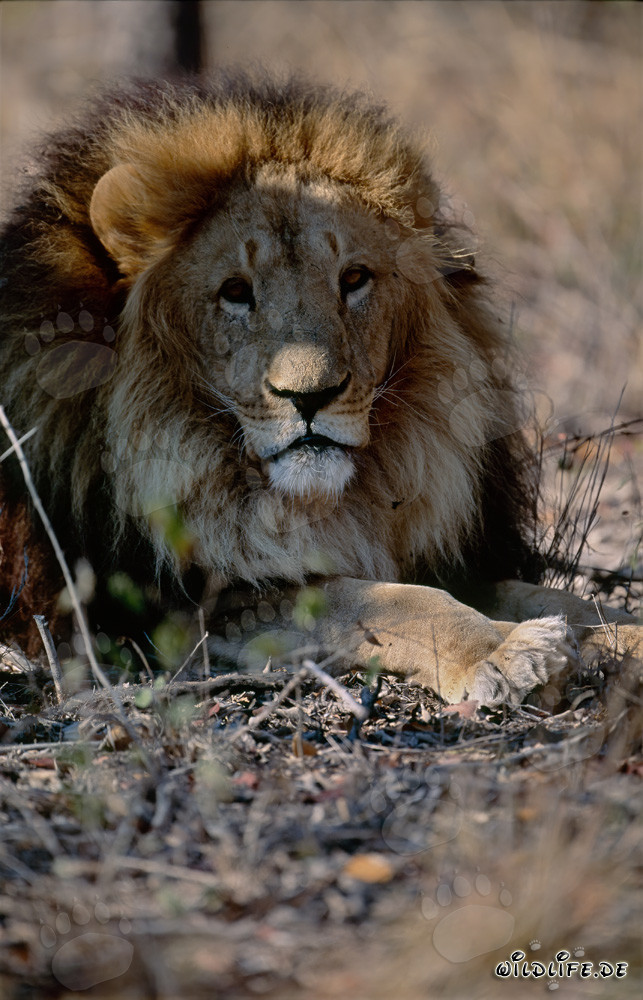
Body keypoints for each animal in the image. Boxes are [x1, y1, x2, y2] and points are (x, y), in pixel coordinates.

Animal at [0, 75, 639, 704]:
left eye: (353, 279)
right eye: (236, 291)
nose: (310, 397)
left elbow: (558, 599)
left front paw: (619, 634)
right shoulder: (185, 611)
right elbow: (379, 600)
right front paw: (505, 650)